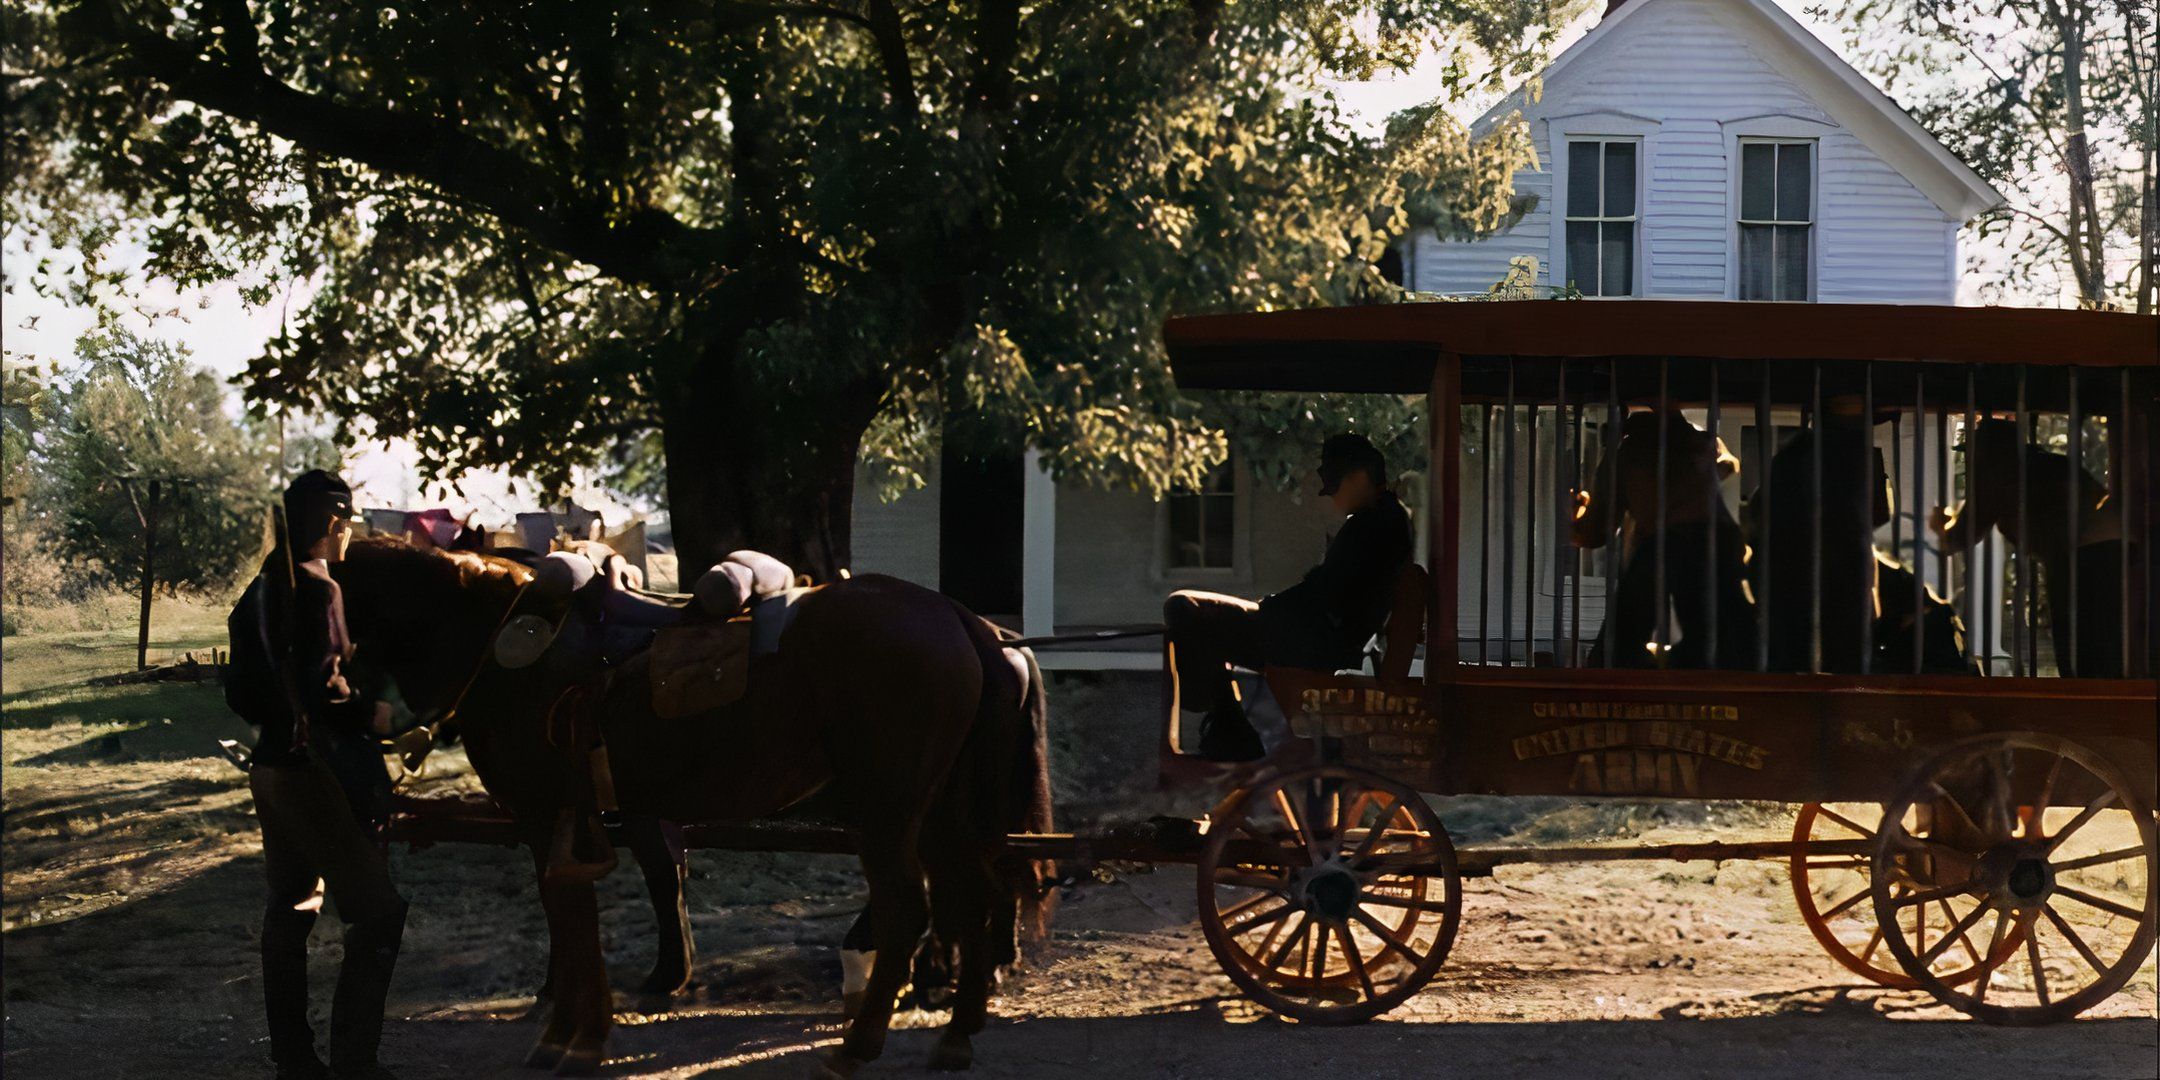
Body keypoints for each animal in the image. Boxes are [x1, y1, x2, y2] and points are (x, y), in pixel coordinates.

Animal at [321, 540, 1054, 1071]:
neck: (502, 647)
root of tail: (962, 620)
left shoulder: (543, 814)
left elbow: (570, 921)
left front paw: (570, 1038)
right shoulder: (568, 821)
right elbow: (577, 918)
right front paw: (580, 1032)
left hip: (890, 813)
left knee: (907, 910)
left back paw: (857, 1047)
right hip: (942, 814)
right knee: (976, 902)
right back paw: (955, 1036)